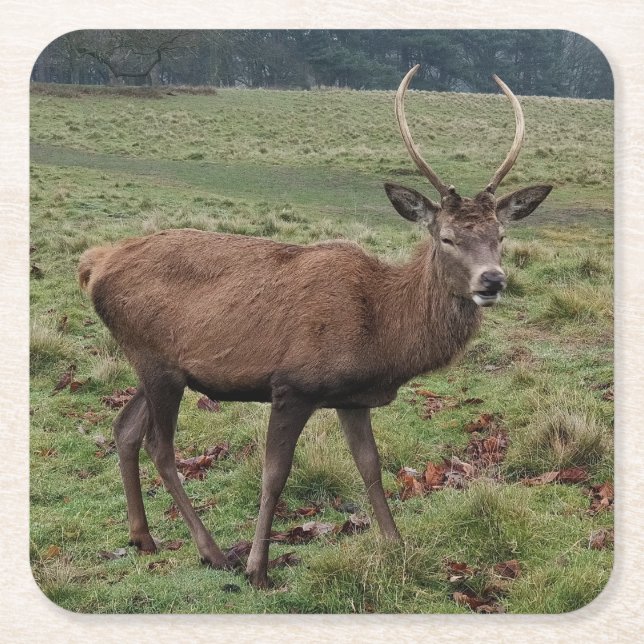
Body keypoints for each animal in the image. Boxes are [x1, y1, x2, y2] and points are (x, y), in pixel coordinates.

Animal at [78, 65, 551, 588]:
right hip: (155, 361)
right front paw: (259, 569)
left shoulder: (350, 398)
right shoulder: (293, 385)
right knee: (160, 447)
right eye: (446, 237)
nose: (492, 280)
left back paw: (143, 537)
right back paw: (213, 551)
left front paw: (397, 548)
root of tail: (94, 264)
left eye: (500, 235)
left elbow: (370, 466)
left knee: (125, 428)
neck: (380, 331)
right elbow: (274, 474)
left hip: (155, 364)